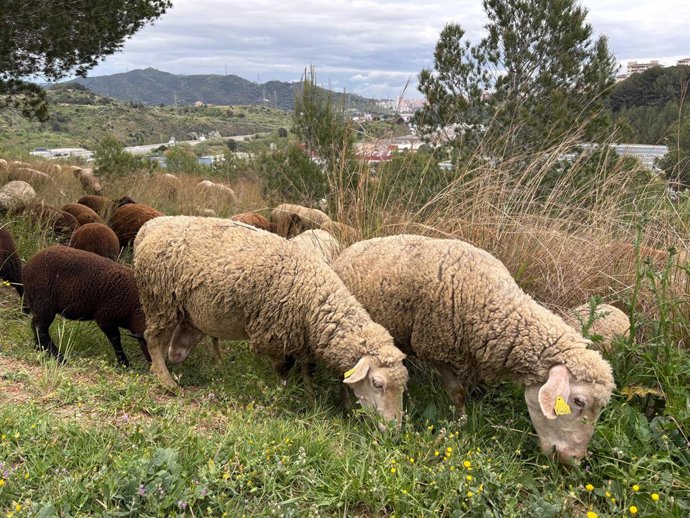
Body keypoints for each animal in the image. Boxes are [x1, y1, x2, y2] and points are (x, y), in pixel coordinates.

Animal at [133, 216, 408, 428]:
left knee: (166, 342)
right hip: (159, 297)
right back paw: (167, 382)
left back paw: (166, 369)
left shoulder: (302, 340)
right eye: (377, 383)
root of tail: (148, 227)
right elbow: (283, 369)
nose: (394, 430)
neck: (315, 299)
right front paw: (285, 392)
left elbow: (307, 370)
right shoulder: (273, 335)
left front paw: (311, 399)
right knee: (152, 339)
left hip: (176, 308)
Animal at [333, 235, 615, 463]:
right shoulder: (438, 349)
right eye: (578, 401)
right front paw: (460, 422)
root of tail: (353, 247)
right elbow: (457, 393)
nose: (573, 460)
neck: (492, 304)